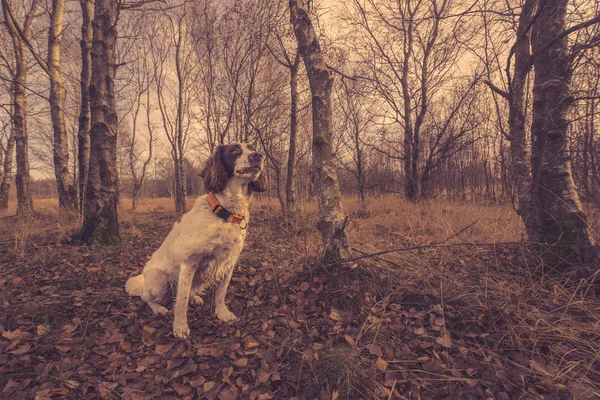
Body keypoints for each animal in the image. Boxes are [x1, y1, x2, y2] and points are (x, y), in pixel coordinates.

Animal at [125, 143, 266, 338]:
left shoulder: (228, 262)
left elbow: (221, 292)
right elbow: (181, 301)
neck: (225, 212)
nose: (258, 156)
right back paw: (159, 309)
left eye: (252, 148)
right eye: (235, 150)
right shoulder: (189, 262)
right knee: (147, 297)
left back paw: (194, 297)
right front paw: (180, 327)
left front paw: (222, 313)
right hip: (160, 282)